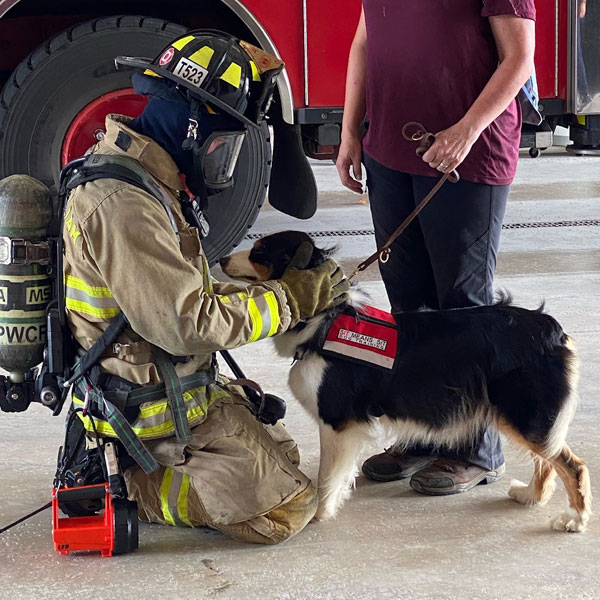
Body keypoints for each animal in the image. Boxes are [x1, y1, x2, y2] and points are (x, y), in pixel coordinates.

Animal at [220, 232, 592, 532]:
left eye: (260, 252)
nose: (221, 259)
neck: (324, 323)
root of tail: (552, 330)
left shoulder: (338, 421)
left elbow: (327, 475)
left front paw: (319, 513)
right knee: (547, 460)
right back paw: (531, 496)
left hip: (524, 413)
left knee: (571, 465)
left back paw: (574, 519)